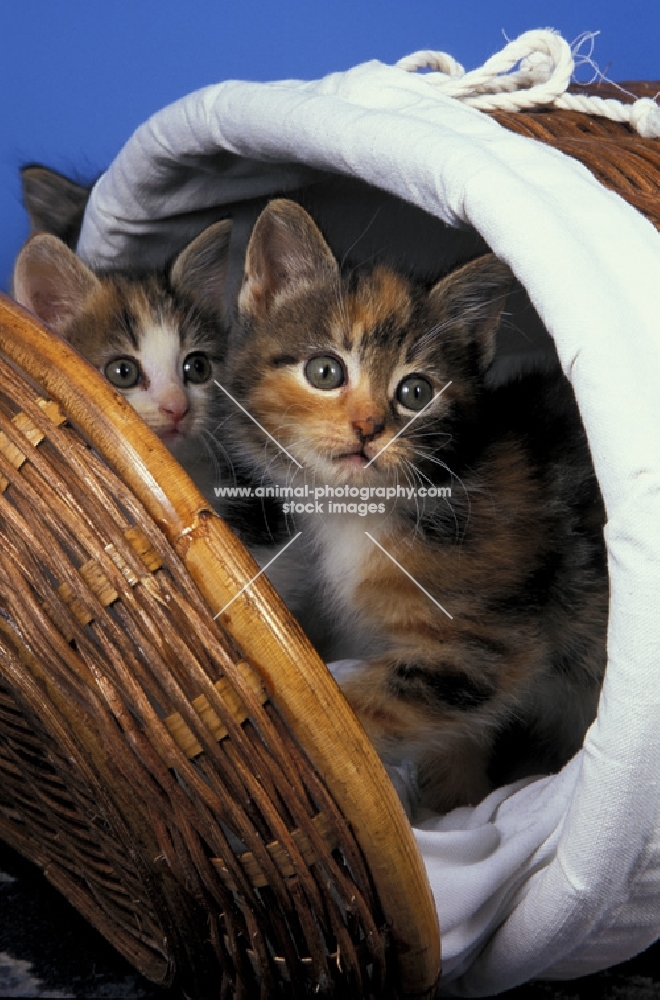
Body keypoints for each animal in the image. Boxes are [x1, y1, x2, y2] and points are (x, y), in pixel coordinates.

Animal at [223, 199, 608, 816]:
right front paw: (451, 792)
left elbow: (353, 722)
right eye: (325, 371)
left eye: (416, 393)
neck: (363, 510)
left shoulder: (486, 642)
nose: (368, 428)